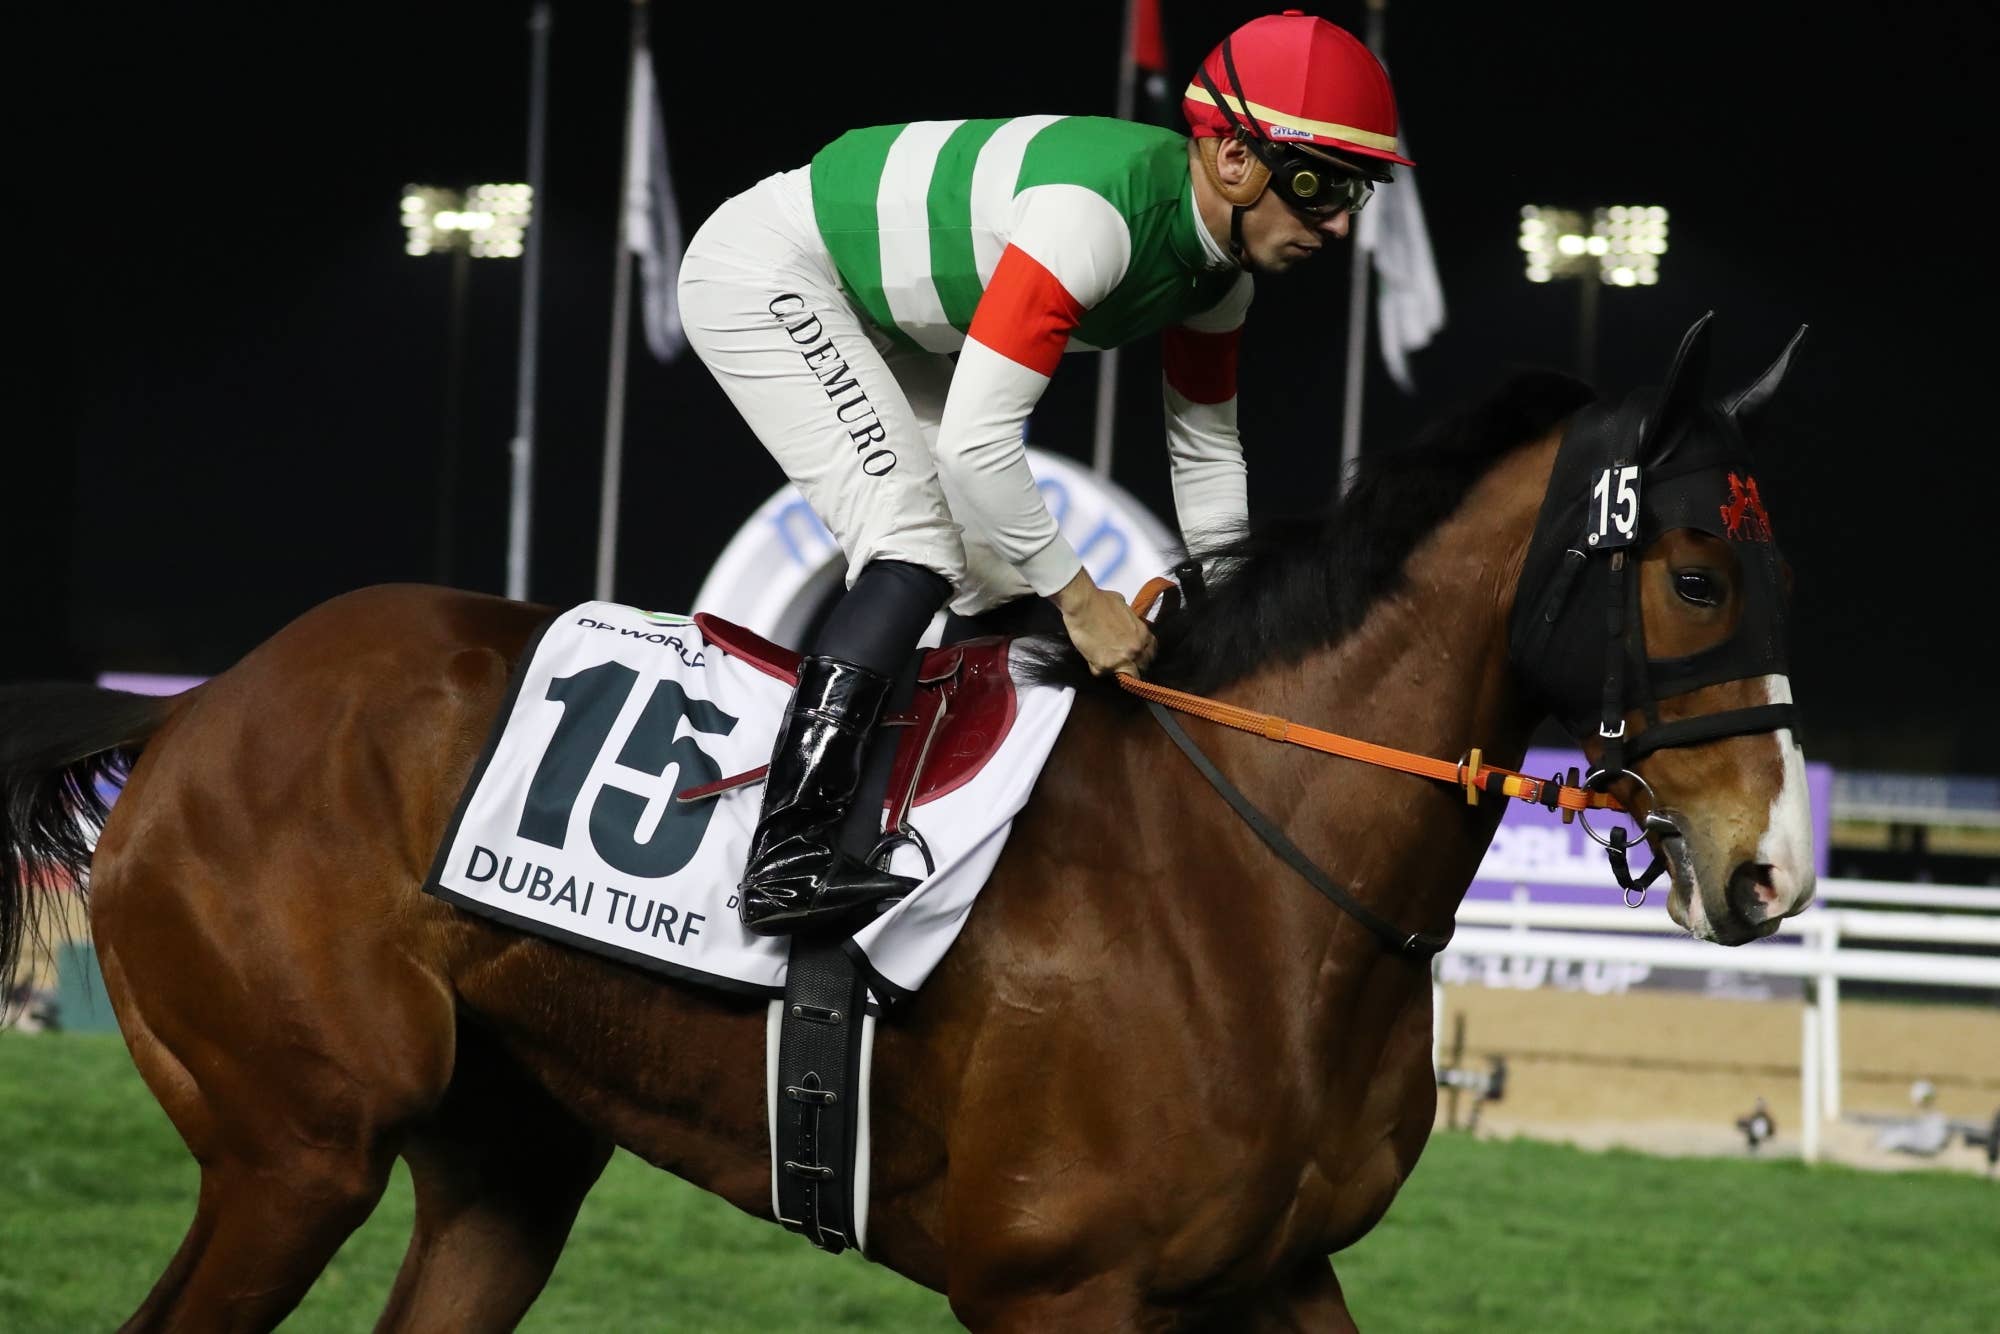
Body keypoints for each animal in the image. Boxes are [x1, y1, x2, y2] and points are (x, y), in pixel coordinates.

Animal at [0, 312, 1815, 1331]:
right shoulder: (1055, 1285)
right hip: (294, 1145)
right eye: (1697, 574)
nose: (1773, 870)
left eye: (1774, 562)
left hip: (501, 1163)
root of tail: (194, 709)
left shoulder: (1272, 1272)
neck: (1250, 875)